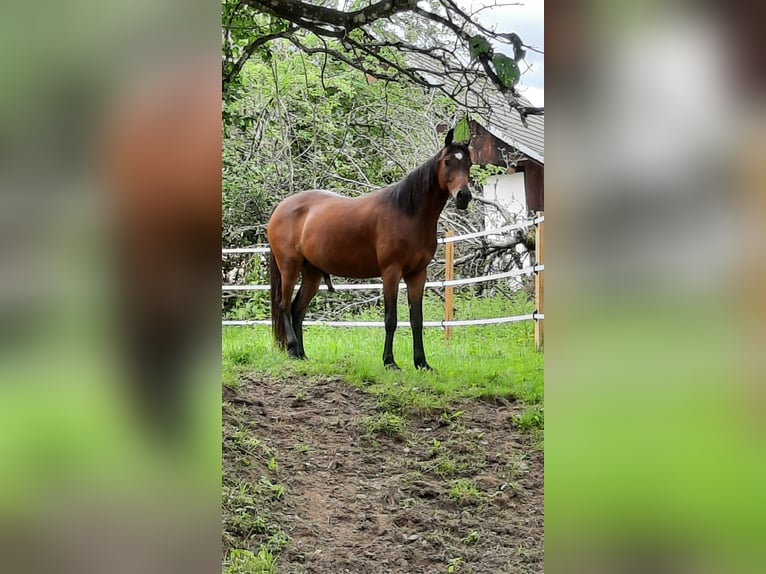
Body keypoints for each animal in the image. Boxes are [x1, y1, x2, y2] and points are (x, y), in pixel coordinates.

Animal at [268, 129, 474, 372]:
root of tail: (281, 208)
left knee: (297, 310)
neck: (407, 212)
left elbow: (417, 320)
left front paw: (421, 363)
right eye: (448, 161)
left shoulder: (417, 275)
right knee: (284, 305)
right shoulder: (391, 273)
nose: (463, 196)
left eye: (469, 163)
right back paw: (292, 349)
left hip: (312, 273)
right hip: (289, 267)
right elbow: (391, 319)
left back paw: (301, 354)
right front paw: (390, 361)